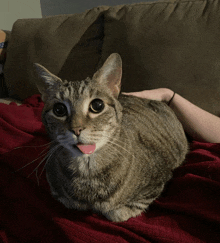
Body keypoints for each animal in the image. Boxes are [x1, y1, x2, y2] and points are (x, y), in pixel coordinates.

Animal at [33, 53, 188, 222]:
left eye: (97, 105)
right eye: (59, 109)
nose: (76, 129)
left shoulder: (158, 180)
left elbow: (119, 212)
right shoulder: (55, 186)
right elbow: (67, 200)